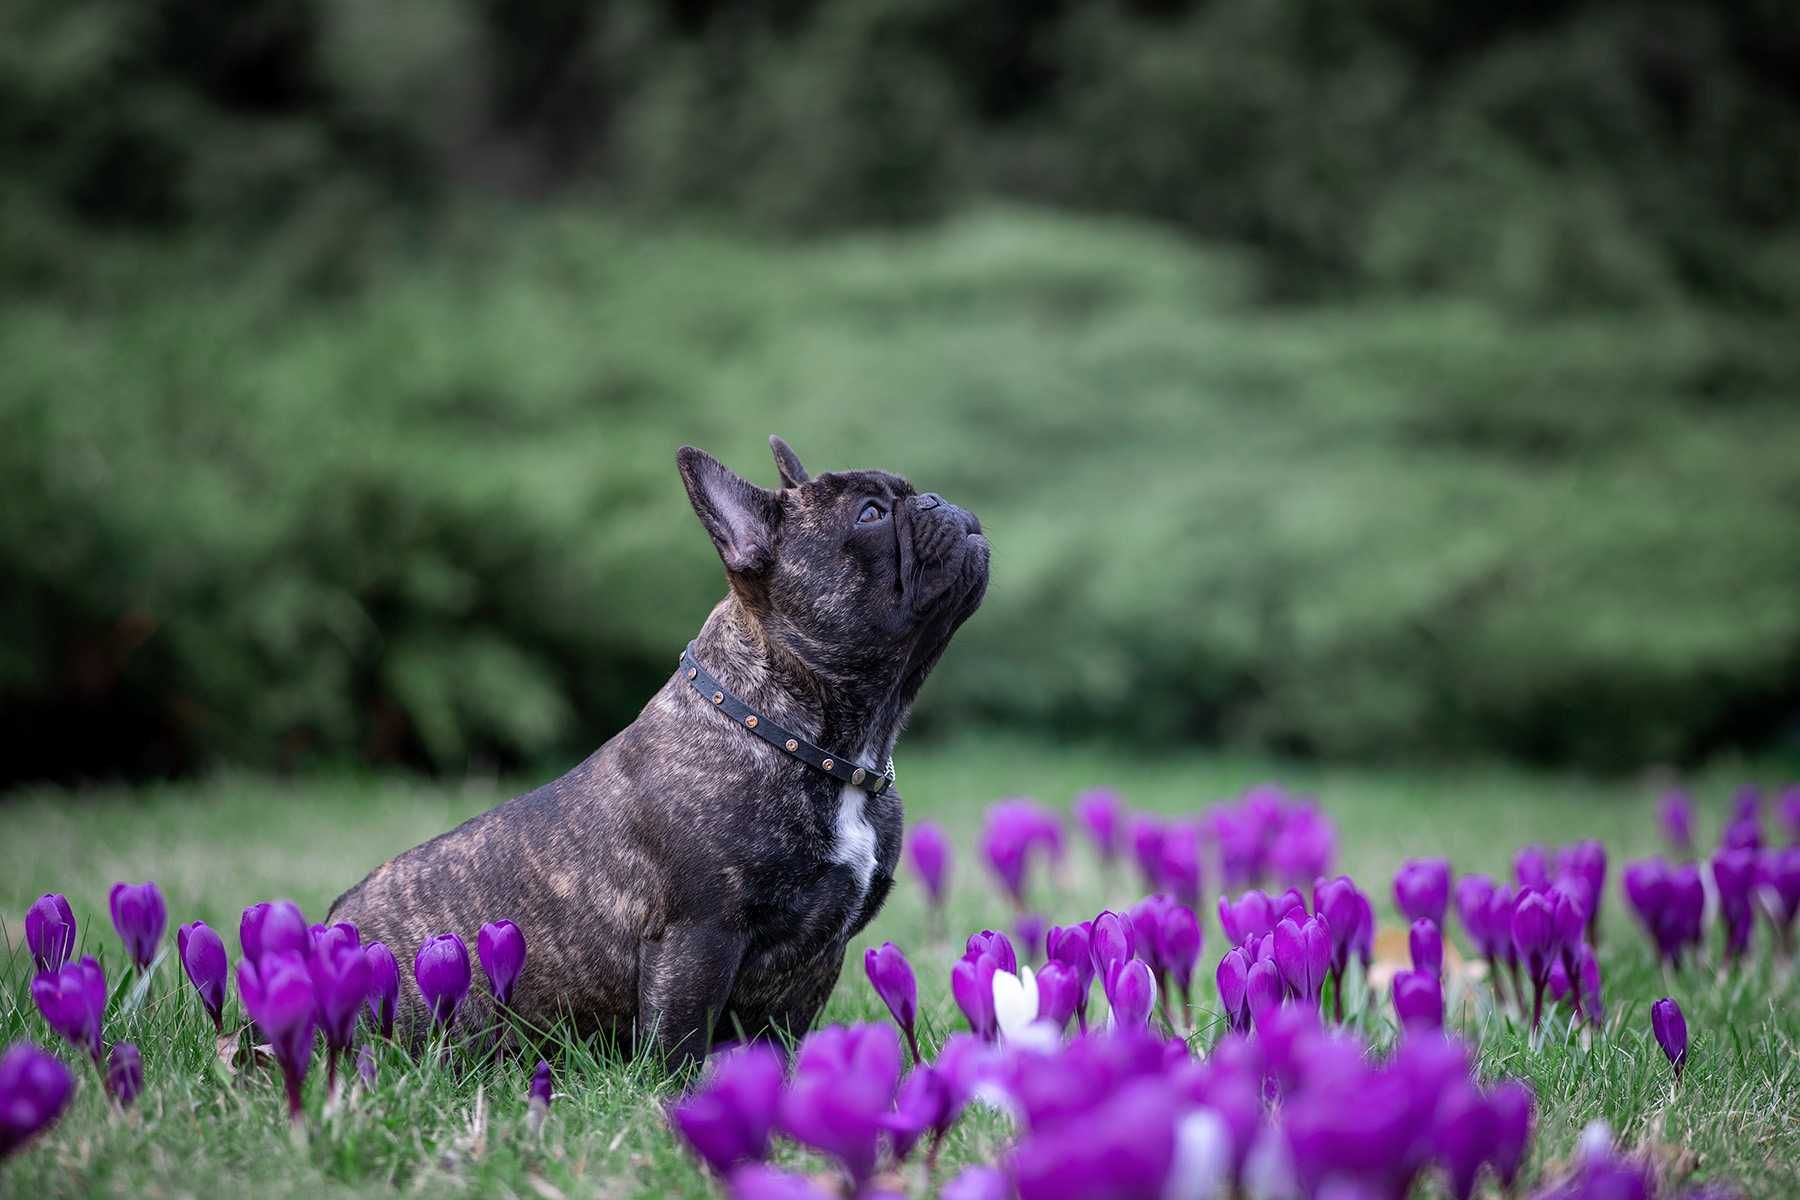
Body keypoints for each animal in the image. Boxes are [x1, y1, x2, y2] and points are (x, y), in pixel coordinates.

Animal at [331, 437, 993, 1065]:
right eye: (871, 513)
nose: (937, 501)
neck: (819, 743)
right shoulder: (697, 939)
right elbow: (679, 1042)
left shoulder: (817, 959)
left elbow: (783, 1044)